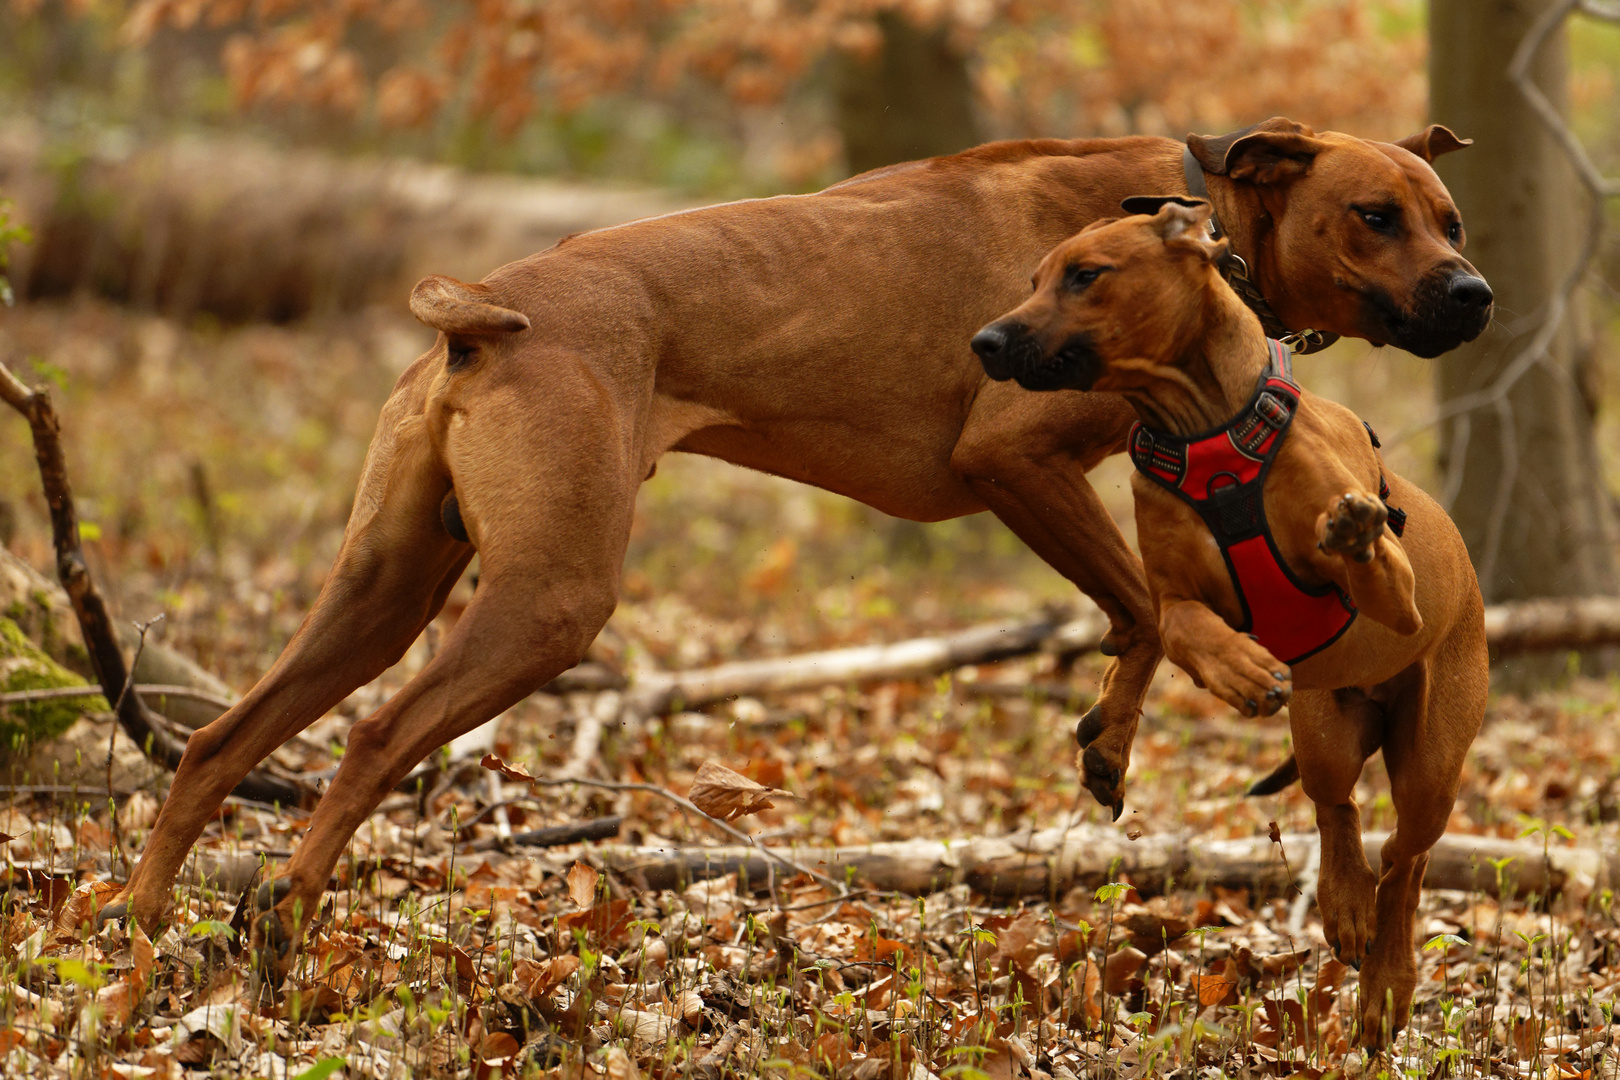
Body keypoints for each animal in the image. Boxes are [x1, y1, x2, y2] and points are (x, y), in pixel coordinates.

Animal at [965, 198, 1483, 1042]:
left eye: (1086, 275)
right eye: (1033, 279)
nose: (986, 341)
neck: (1204, 427)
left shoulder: (1397, 599)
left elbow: (1368, 559)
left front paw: (1350, 531)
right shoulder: (1174, 595)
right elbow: (1179, 627)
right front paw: (1240, 671)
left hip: (1433, 754)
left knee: (1405, 862)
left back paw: (1386, 985)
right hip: (1325, 724)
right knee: (1338, 809)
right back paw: (1344, 906)